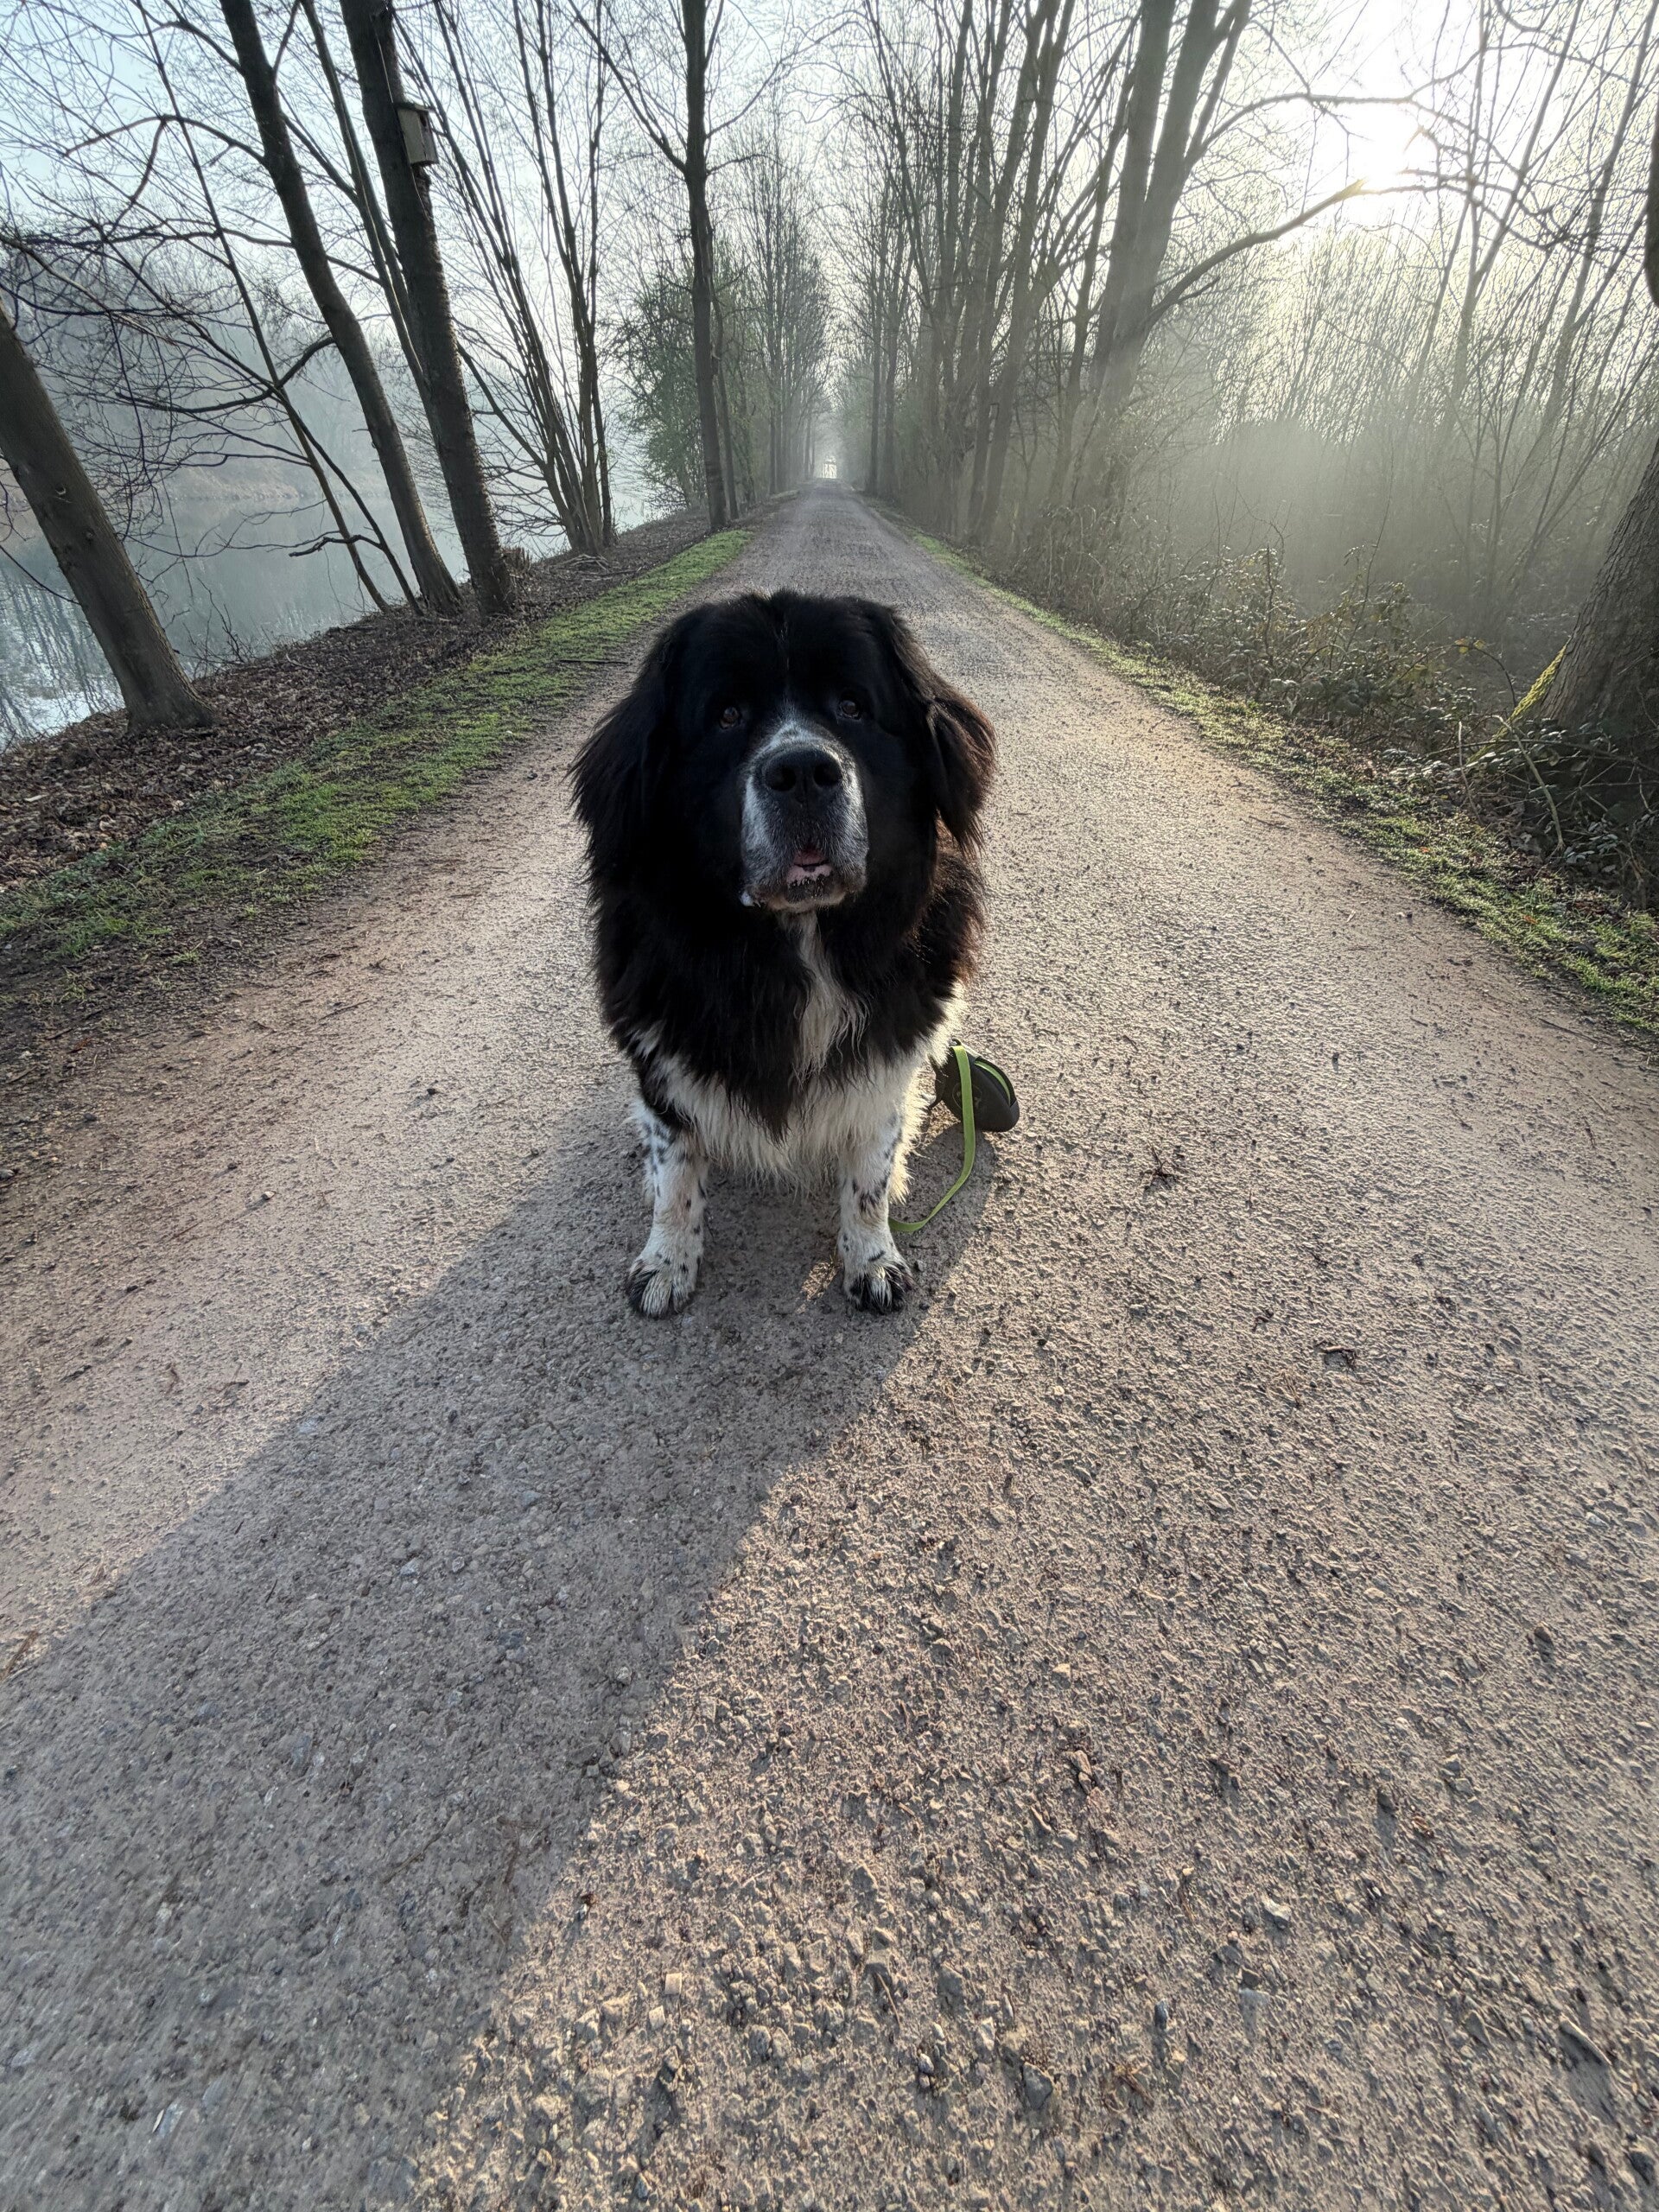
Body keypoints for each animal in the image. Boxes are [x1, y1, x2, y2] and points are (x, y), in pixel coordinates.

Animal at [572, 588, 994, 1315]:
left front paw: (871, 1258)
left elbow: (870, 1171)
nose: (801, 770)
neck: (795, 943)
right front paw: (668, 1261)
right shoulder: (661, 1060)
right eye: (727, 716)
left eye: (853, 706)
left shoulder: (889, 1058)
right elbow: (675, 1171)